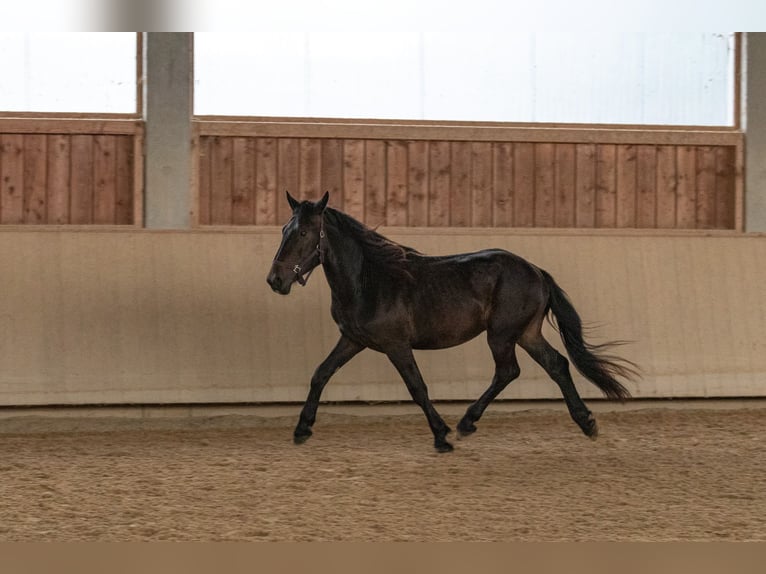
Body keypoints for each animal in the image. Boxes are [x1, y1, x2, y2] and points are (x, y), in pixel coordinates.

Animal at [268, 194, 640, 454]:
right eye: (284, 230)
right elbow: (321, 374)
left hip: (501, 335)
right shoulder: (352, 340)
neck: (369, 281)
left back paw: (465, 424)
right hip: (526, 333)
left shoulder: (395, 345)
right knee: (557, 364)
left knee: (508, 371)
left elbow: (417, 388)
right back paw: (587, 423)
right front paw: (302, 429)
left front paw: (441, 436)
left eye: (303, 232)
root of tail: (536, 271)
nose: (275, 280)